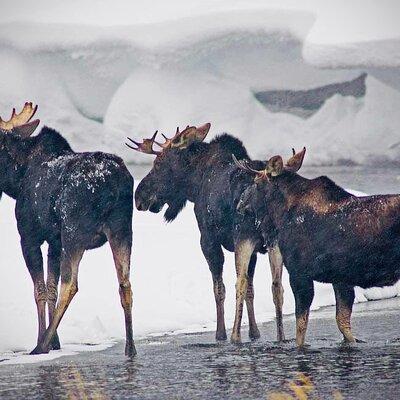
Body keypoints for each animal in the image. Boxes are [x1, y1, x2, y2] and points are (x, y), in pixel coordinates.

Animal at [0, 104, 136, 356]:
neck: (15, 178)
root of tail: (112, 184)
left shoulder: (29, 235)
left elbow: (40, 289)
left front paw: (45, 340)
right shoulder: (55, 241)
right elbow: (50, 287)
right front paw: (56, 342)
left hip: (74, 231)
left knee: (71, 284)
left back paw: (40, 346)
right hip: (122, 229)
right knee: (125, 283)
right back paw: (130, 348)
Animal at [130, 126, 286, 344]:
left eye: (159, 163)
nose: (139, 197)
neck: (195, 184)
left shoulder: (208, 240)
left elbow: (219, 288)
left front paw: (220, 333)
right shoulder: (254, 250)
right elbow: (251, 290)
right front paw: (255, 333)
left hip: (244, 237)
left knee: (240, 282)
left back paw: (235, 336)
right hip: (273, 241)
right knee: (276, 285)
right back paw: (281, 337)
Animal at [233, 148, 400, 346]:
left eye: (257, 182)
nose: (240, 204)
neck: (282, 215)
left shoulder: (299, 273)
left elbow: (301, 328)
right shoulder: (341, 279)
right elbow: (344, 324)